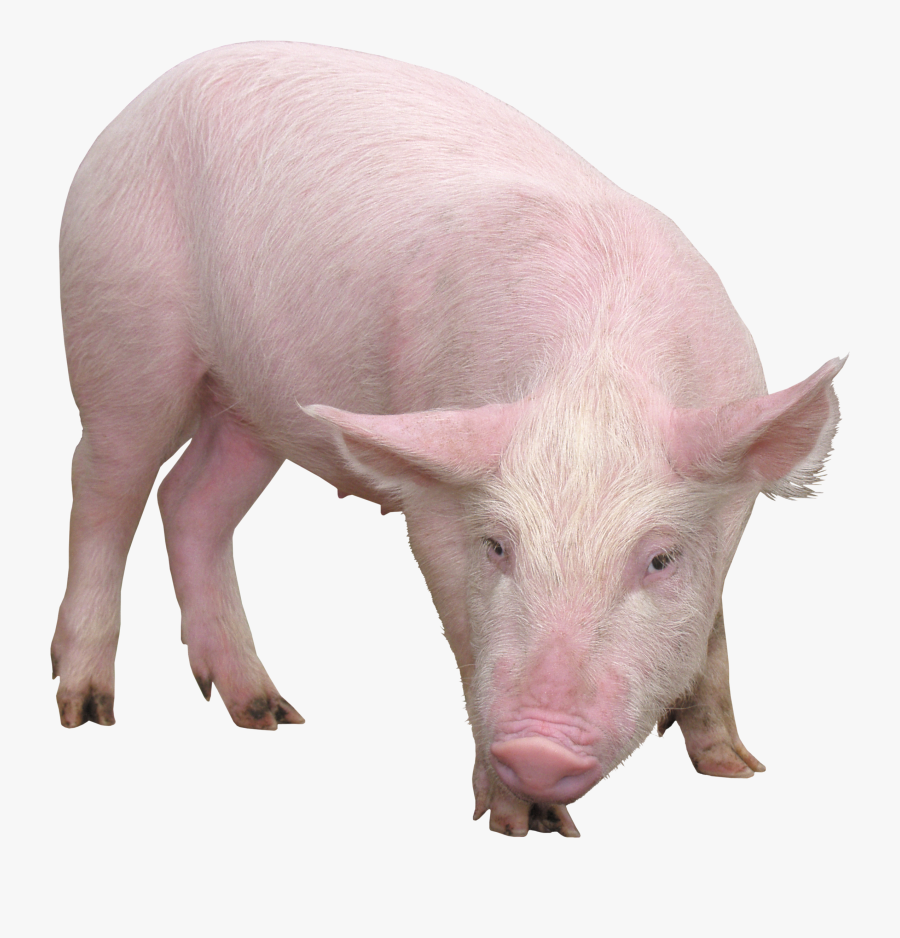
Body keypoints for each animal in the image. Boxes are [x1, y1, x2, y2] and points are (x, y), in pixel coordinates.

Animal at [52, 42, 843, 836]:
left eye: (660, 559)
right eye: (496, 547)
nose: (538, 751)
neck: (594, 379)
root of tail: (143, 101)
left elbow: (714, 629)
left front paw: (737, 769)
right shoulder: (434, 500)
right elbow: (464, 633)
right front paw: (527, 824)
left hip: (250, 404)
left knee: (191, 499)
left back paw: (268, 713)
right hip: (119, 330)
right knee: (103, 483)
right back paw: (86, 709)